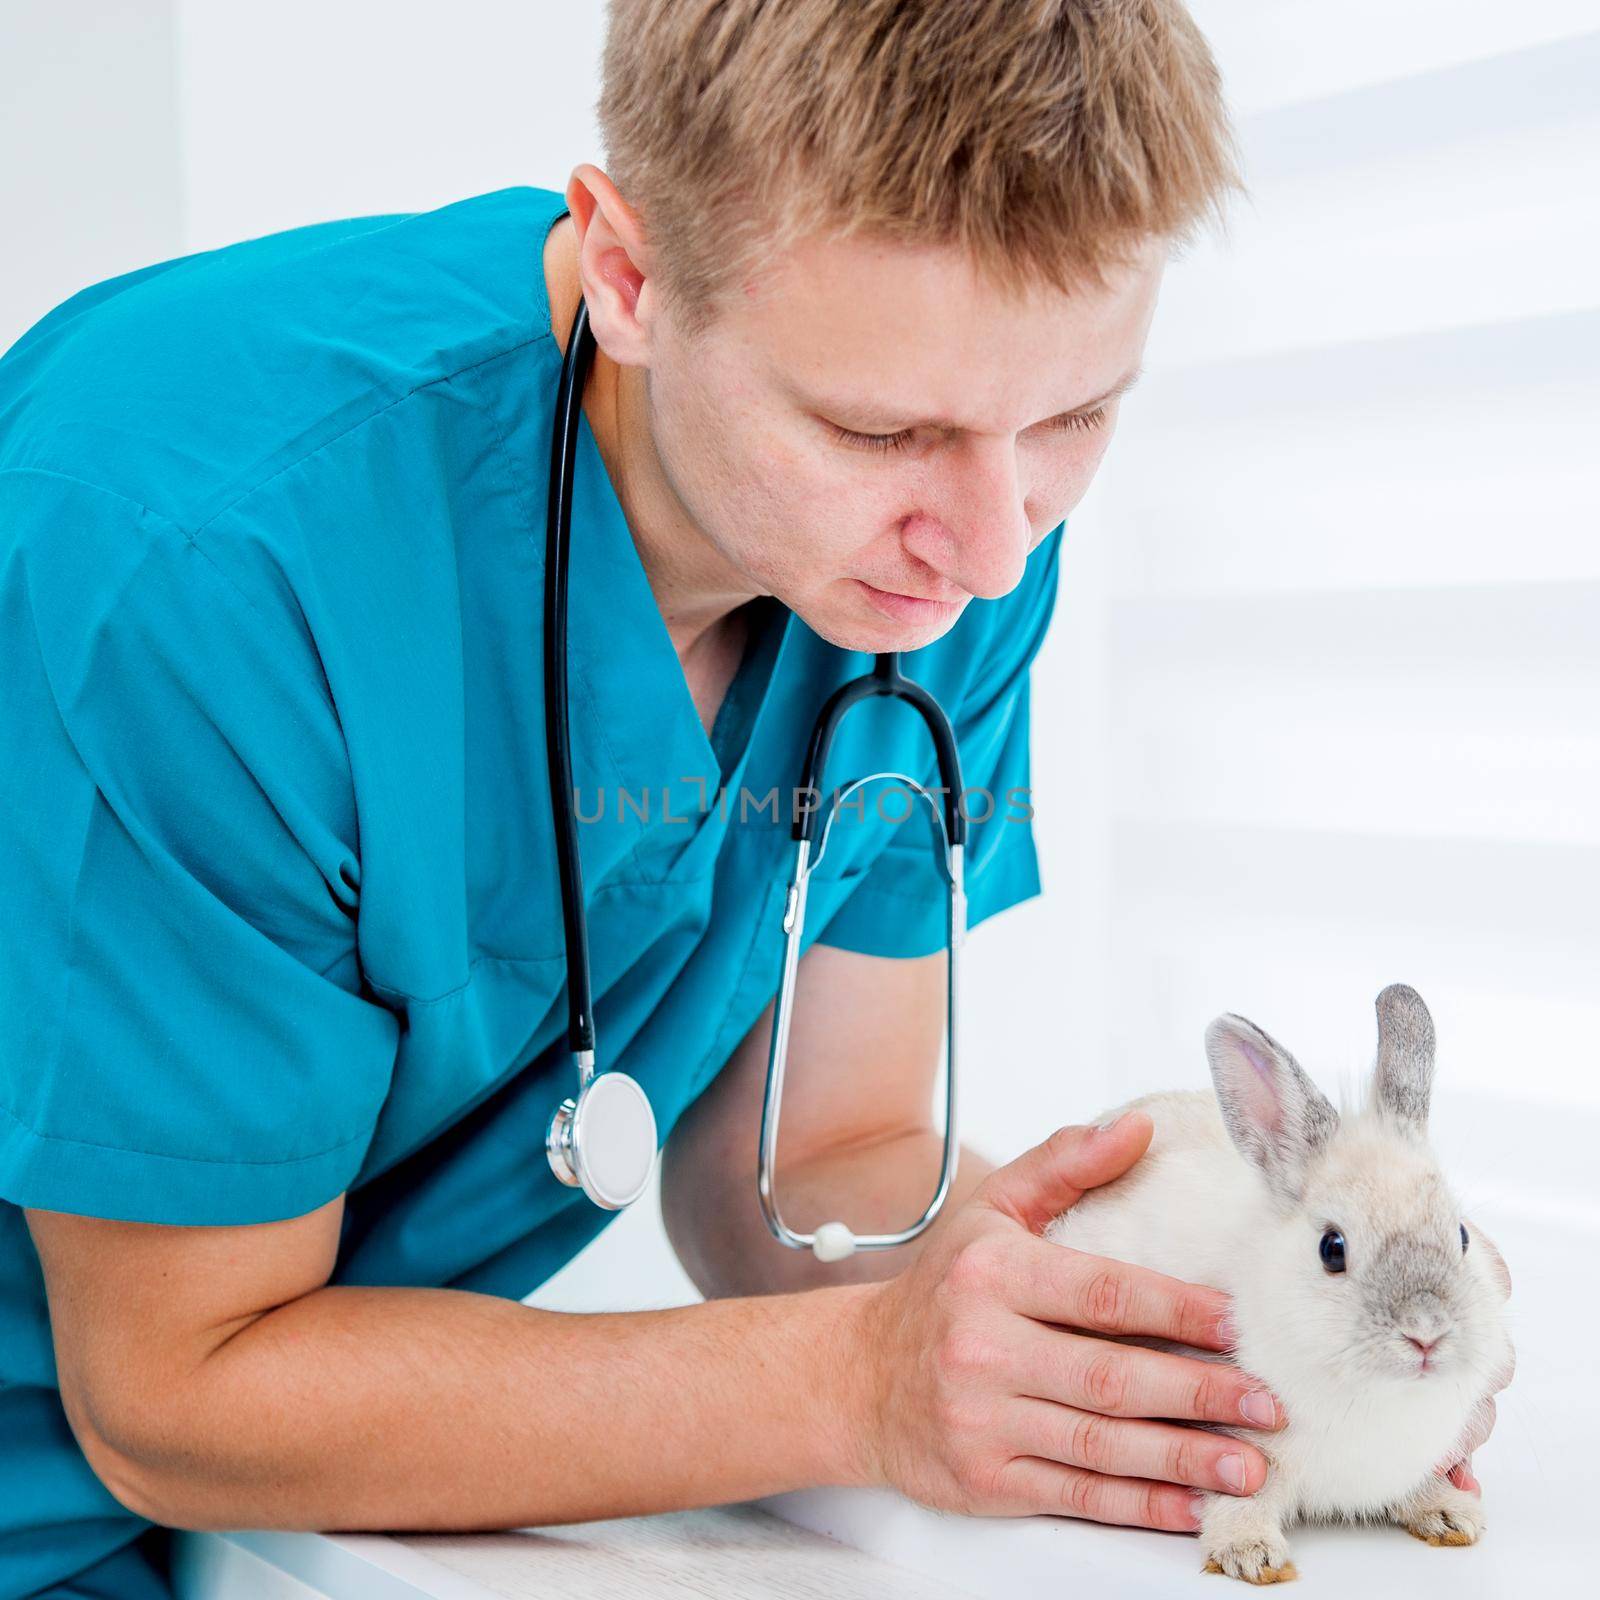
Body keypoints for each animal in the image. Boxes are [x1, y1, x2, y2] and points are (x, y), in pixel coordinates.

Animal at [1043, 979, 1516, 1580]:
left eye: (1461, 1235)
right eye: (1332, 1249)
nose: (1427, 1332)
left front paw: (1452, 1514)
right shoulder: (1234, 1448)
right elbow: (1237, 1500)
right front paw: (1252, 1556)